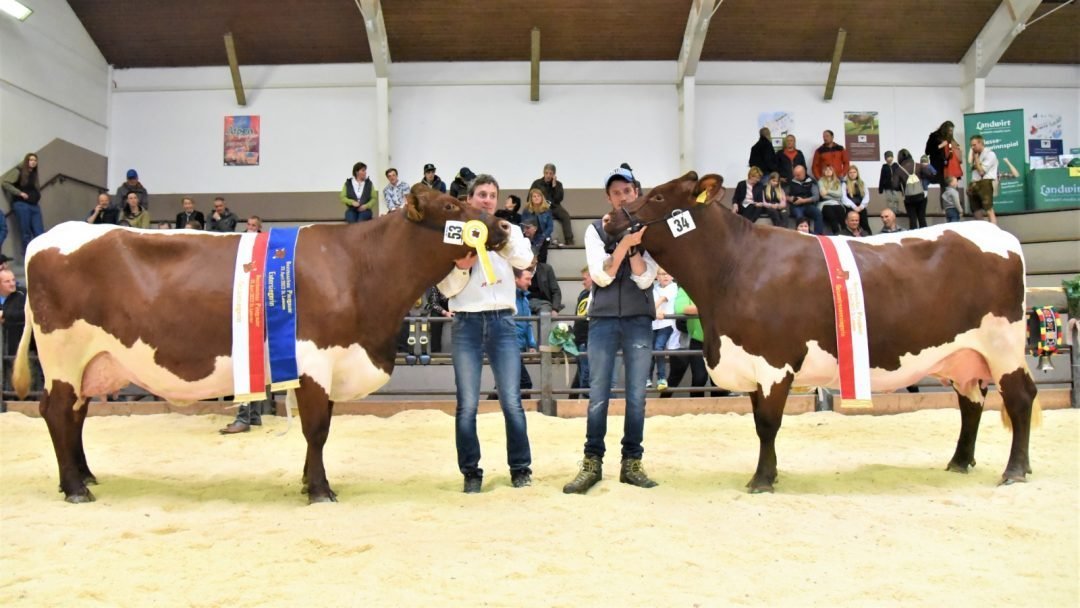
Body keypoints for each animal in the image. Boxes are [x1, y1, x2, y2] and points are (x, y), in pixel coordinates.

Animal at [12, 185, 509, 505]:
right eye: (451, 204)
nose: (502, 226)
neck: (358, 268)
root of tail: (47, 238)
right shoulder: (314, 361)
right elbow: (317, 430)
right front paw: (320, 491)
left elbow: (321, 429)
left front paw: (309, 482)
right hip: (62, 355)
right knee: (56, 412)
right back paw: (76, 489)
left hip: (88, 362)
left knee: (75, 416)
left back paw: (85, 476)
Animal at [609, 172, 1036, 494]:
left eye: (657, 195)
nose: (612, 219)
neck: (733, 269)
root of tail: (1000, 235)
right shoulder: (751, 364)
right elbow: (759, 422)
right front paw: (769, 473)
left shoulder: (774, 362)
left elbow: (768, 424)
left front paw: (762, 480)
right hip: (964, 356)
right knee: (971, 402)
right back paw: (959, 462)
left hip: (1003, 346)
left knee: (1020, 398)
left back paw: (1014, 471)